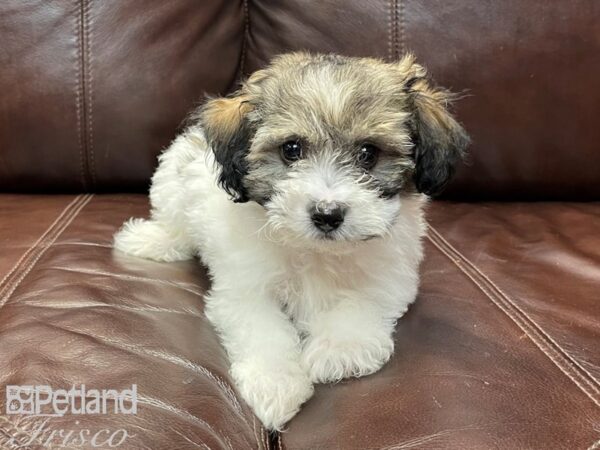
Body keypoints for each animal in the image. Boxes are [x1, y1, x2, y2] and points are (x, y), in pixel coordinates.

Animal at [112, 51, 468, 428]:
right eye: (291, 149)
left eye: (369, 153)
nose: (327, 213)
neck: (315, 251)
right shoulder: (245, 289)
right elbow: (264, 329)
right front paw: (275, 384)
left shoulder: (390, 278)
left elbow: (361, 306)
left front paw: (335, 351)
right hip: (173, 176)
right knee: (175, 220)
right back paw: (150, 239)